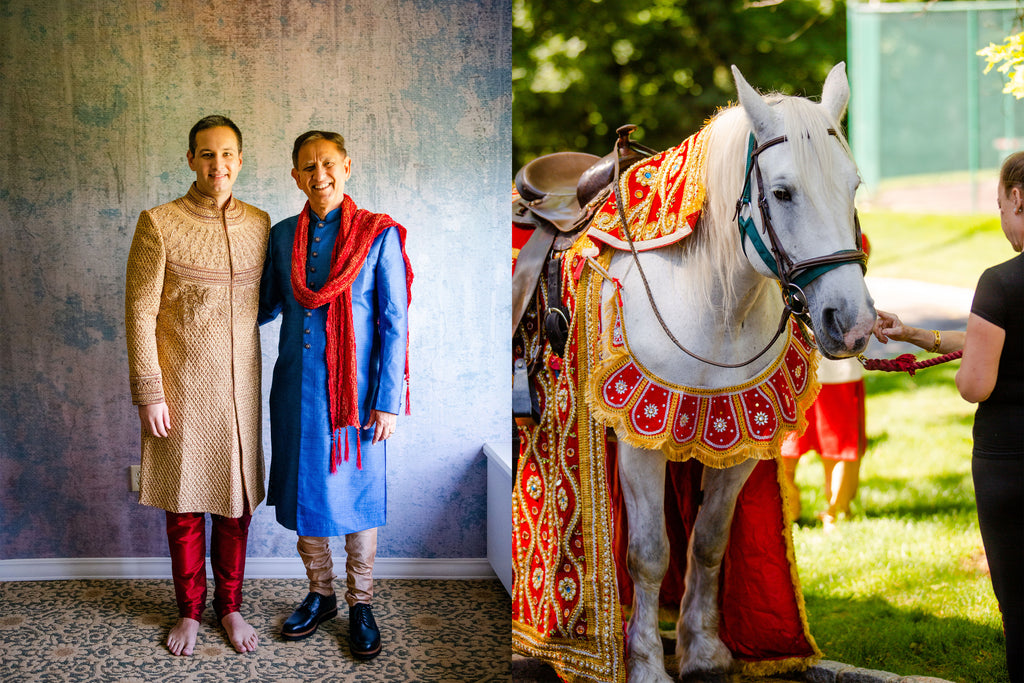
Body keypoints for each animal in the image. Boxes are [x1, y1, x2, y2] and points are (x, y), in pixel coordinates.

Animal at [602, 62, 876, 679]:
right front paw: (645, 662)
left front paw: (704, 650)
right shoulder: (638, 441)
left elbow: (708, 542)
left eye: (853, 186)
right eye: (782, 192)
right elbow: (649, 552)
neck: (714, 306)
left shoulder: (738, 444)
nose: (851, 323)